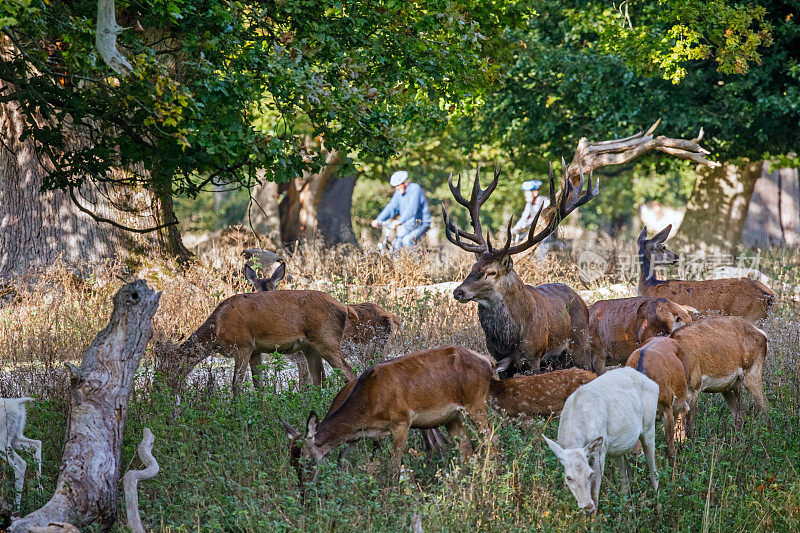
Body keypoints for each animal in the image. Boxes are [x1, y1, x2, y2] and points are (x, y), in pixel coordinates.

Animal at [280, 344, 494, 490]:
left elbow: (393, 466)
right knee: (466, 448)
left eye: (306, 460)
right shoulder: (359, 436)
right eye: (291, 462)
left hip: (476, 403)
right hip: (452, 417)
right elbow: (343, 460)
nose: (304, 493)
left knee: (491, 438)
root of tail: (488, 361)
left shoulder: (401, 422)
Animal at [444, 162, 600, 374]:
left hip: (580, 344)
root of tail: (581, 300)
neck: (510, 339)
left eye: (491, 272)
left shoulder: (533, 357)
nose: (458, 292)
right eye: (473, 266)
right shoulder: (499, 358)